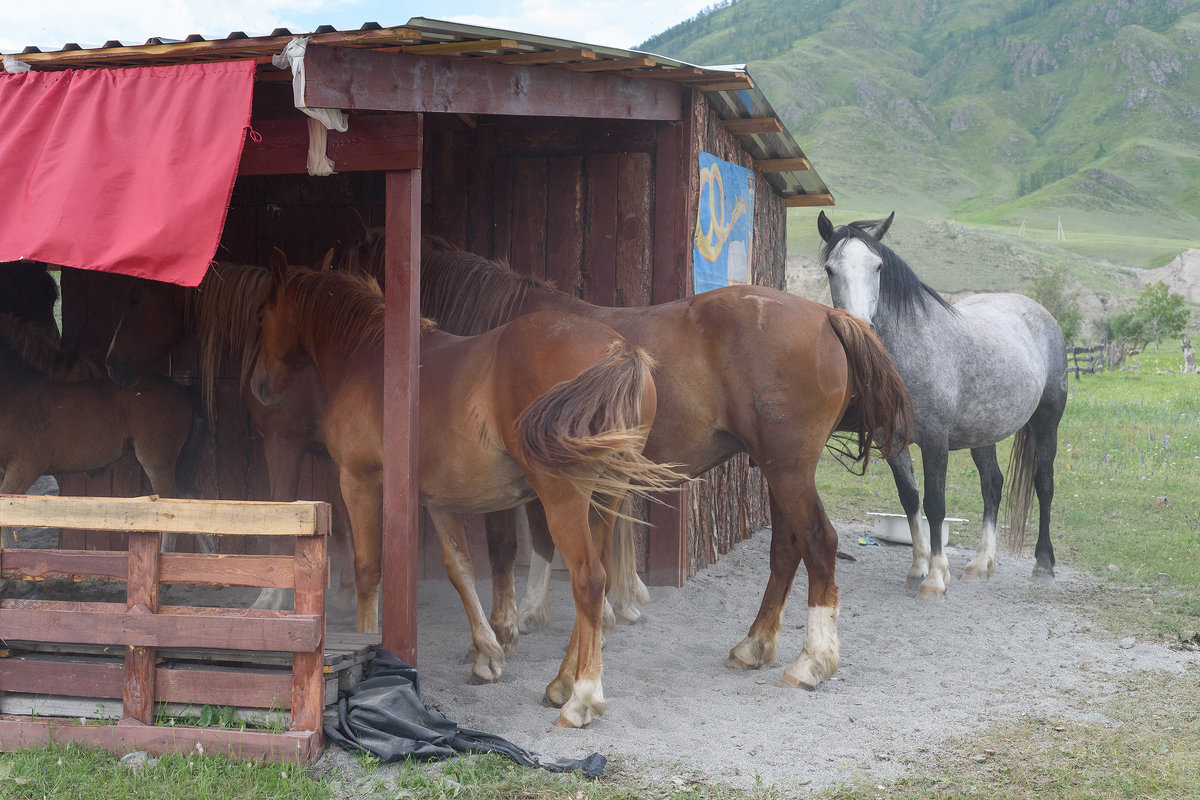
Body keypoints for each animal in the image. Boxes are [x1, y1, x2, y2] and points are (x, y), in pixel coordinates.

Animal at [250, 260, 686, 729]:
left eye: (262, 315)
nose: (258, 385)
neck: (368, 359)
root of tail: (618, 350)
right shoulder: (441, 502)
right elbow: (459, 569)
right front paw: (487, 654)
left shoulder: (358, 481)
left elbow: (368, 570)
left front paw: (367, 642)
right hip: (605, 500)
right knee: (597, 580)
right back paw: (561, 683)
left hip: (563, 498)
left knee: (589, 580)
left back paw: (580, 698)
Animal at [417, 239, 912, 695]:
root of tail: (827, 316)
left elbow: (508, 546)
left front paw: (506, 629)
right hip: (779, 471)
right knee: (787, 547)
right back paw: (753, 645)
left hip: (788, 469)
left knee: (819, 543)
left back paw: (811, 661)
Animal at [816, 212, 1070, 599]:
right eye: (831, 269)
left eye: (878, 266)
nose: (860, 328)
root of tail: (1040, 313)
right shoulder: (892, 442)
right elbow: (910, 499)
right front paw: (918, 568)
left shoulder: (935, 441)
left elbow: (935, 505)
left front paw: (935, 578)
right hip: (984, 433)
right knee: (992, 485)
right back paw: (981, 564)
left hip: (1047, 422)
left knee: (1044, 483)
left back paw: (1043, 564)